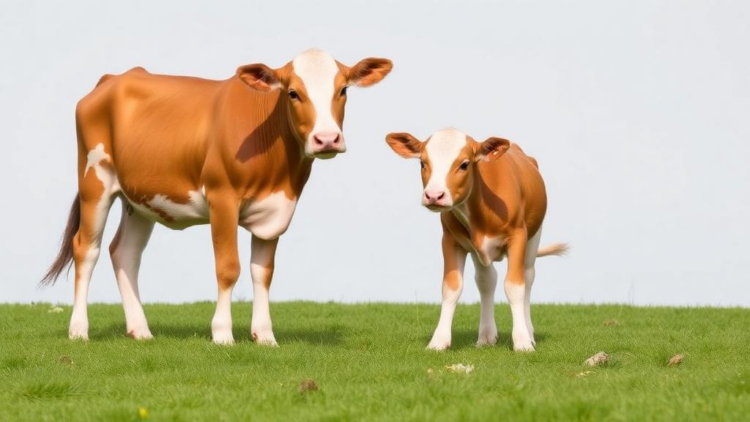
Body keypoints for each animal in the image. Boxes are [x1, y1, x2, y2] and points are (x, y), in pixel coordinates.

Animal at [42, 48, 392, 345]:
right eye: (293, 93)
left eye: (343, 90)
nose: (327, 138)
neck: (277, 171)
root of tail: (112, 78)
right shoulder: (222, 197)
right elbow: (228, 267)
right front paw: (222, 334)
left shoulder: (278, 208)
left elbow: (263, 272)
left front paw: (265, 336)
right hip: (94, 180)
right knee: (86, 249)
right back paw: (78, 330)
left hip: (139, 198)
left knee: (124, 253)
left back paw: (140, 330)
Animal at [385, 128, 567, 351]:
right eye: (422, 162)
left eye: (464, 164)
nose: (434, 195)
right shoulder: (451, 240)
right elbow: (451, 287)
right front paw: (439, 341)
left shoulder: (518, 236)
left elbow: (515, 286)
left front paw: (523, 342)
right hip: (476, 251)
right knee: (487, 280)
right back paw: (486, 336)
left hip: (534, 235)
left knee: (528, 276)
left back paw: (529, 332)